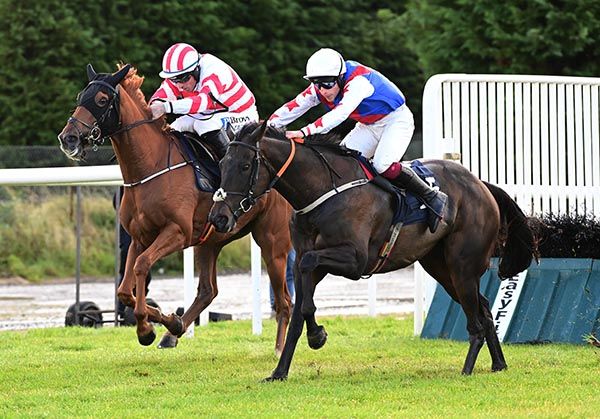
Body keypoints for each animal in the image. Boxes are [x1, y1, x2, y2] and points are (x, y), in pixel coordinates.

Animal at [57, 65, 292, 354]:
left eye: (101, 100)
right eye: (81, 96)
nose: (68, 138)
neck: (150, 167)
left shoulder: (177, 232)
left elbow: (142, 266)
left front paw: (146, 329)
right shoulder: (139, 237)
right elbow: (125, 288)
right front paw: (168, 322)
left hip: (272, 241)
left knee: (285, 300)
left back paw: (280, 347)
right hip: (210, 241)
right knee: (208, 291)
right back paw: (173, 333)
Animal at [209, 120, 536, 380]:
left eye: (245, 166)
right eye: (222, 164)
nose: (218, 217)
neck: (322, 191)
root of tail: (481, 184)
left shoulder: (354, 260)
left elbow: (310, 269)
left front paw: (316, 336)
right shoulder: (304, 259)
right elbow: (302, 309)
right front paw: (283, 368)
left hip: (462, 267)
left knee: (476, 321)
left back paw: (467, 370)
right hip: (441, 268)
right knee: (484, 307)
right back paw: (498, 364)